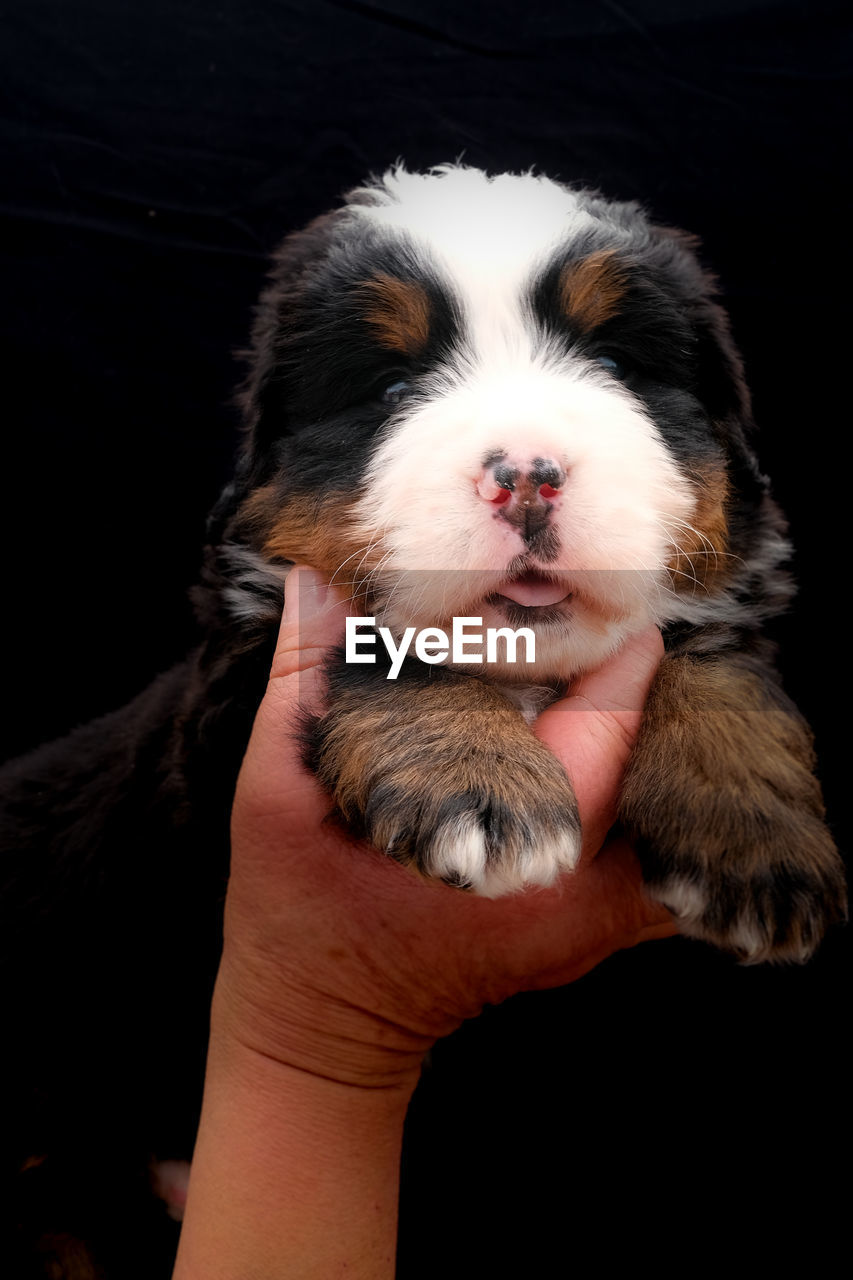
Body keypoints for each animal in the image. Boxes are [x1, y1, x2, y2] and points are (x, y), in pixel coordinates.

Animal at [1, 165, 845, 1274]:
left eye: (615, 364)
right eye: (393, 388)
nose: (526, 470)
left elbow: (713, 661)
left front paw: (751, 840)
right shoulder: (228, 711)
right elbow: (390, 640)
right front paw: (472, 784)